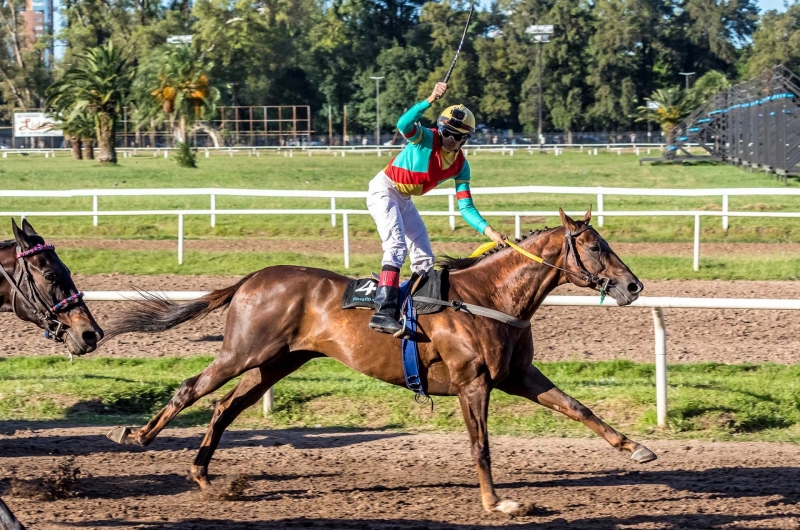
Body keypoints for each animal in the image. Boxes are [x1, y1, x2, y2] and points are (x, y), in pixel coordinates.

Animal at [104, 208, 656, 512]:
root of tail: (252, 278)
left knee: (223, 409)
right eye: (594, 245)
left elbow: (579, 408)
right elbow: (480, 447)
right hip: (244, 351)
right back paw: (137, 435)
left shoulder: (517, 374)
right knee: (192, 389)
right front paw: (497, 501)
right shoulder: (473, 381)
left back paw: (204, 475)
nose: (633, 286)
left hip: (277, 362)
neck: (489, 297)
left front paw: (636, 448)